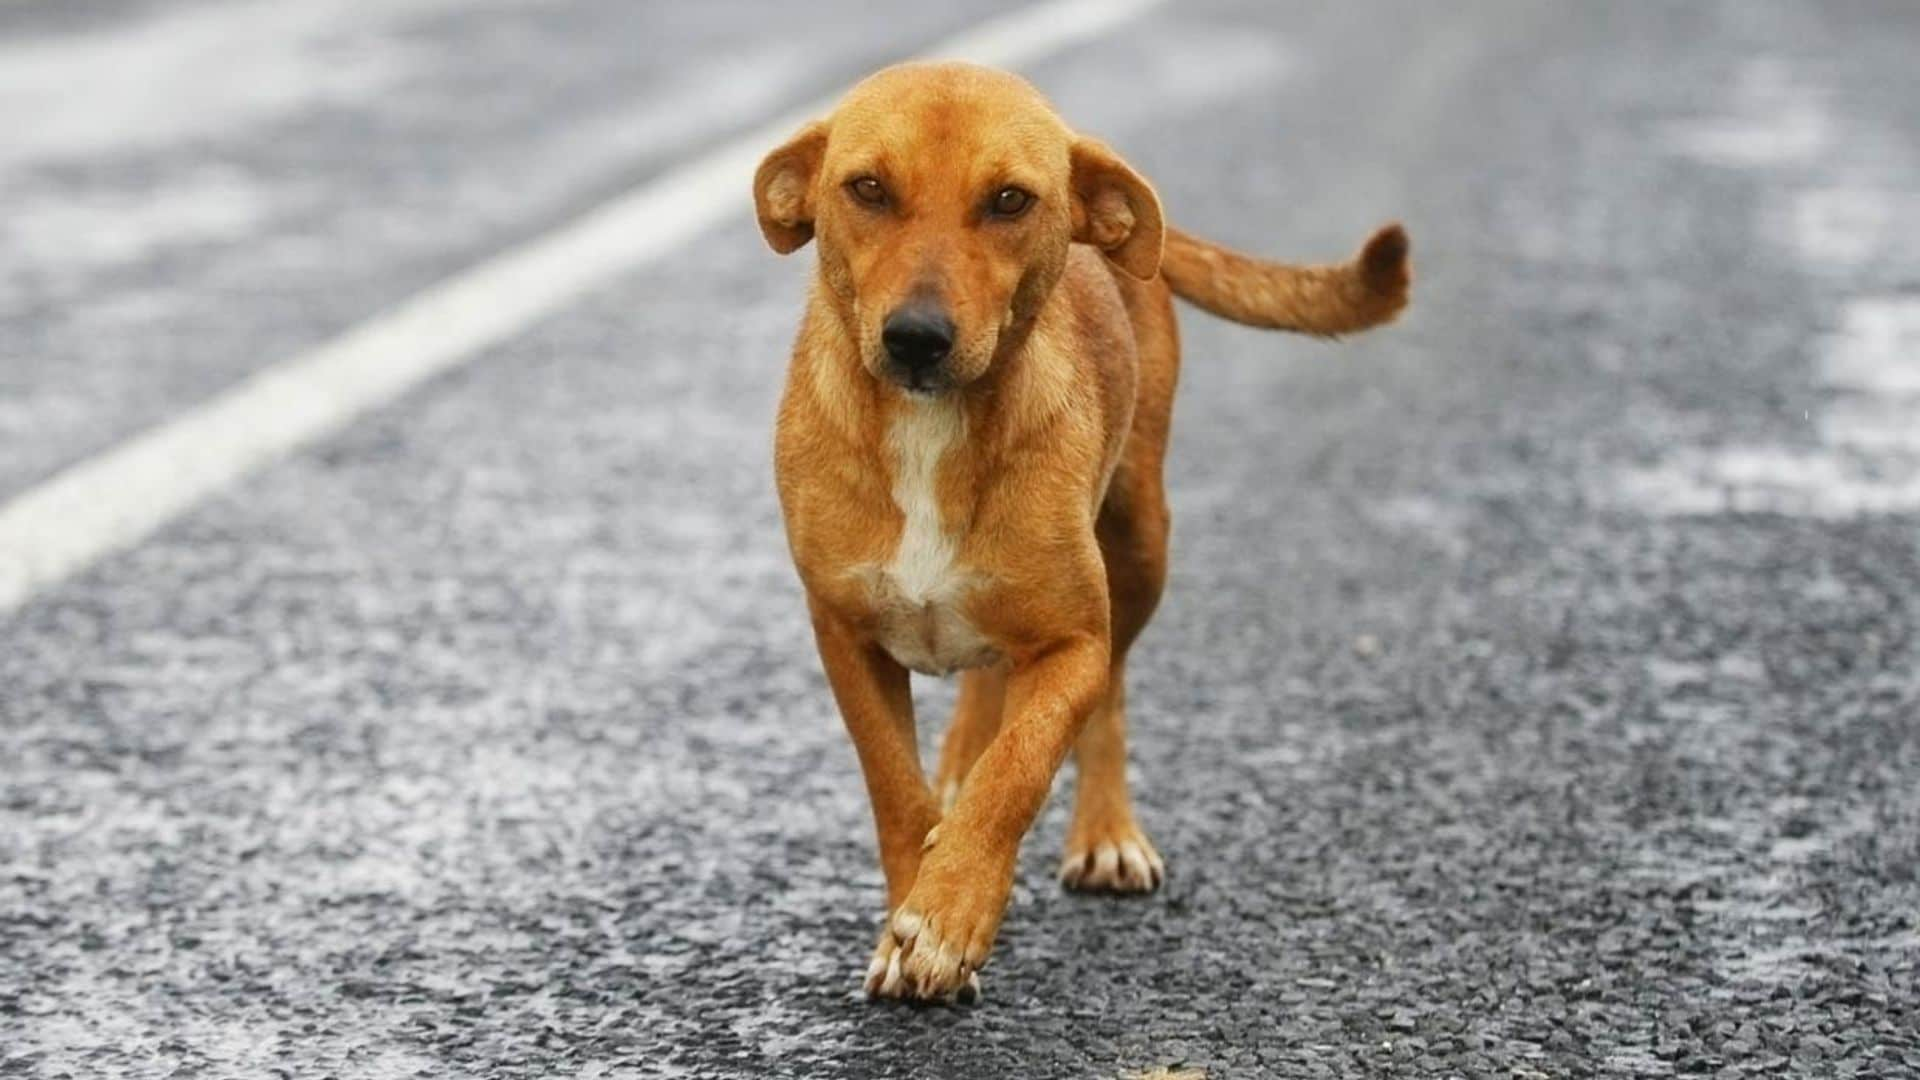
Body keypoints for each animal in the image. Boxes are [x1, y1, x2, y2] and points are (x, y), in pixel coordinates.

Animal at [752, 61, 1413, 999]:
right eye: (868, 189)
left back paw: (1103, 836)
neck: (931, 431)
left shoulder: (1073, 643)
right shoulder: (846, 635)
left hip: (1140, 546)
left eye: (1009, 200)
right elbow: (895, 787)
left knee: (1109, 698)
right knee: (982, 699)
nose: (916, 338)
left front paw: (949, 914)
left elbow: (1021, 768)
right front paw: (914, 899)